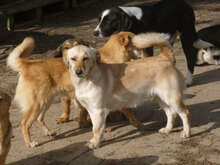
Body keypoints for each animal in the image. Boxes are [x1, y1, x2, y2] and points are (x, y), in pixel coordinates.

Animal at [6, 31, 144, 148]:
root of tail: (28, 64)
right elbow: (128, 111)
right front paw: (137, 124)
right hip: (37, 103)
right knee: (25, 123)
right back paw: (29, 143)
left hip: (45, 101)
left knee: (38, 119)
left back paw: (49, 132)